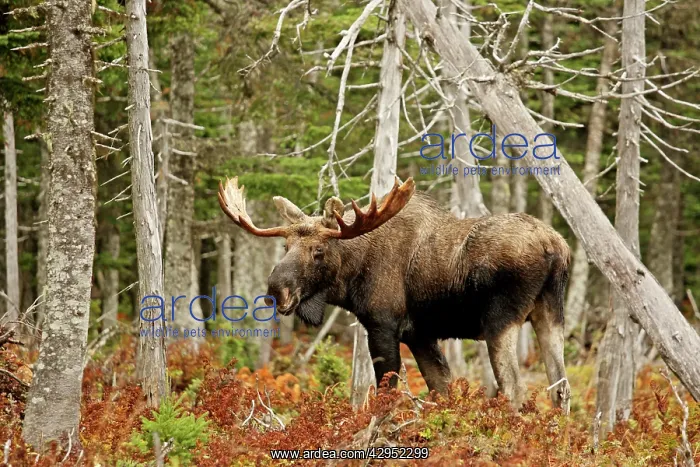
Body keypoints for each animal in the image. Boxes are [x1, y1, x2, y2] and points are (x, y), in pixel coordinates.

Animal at [217, 175, 571, 413]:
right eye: (286, 246)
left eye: (318, 250)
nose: (276, 290)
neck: (351, 276)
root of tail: (555, 247)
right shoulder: (420, 334)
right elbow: (441, 390)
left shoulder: (382, 324)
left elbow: (387, 393)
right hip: (550, 313)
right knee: (560, 388)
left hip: (500, 320)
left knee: (515, 388)